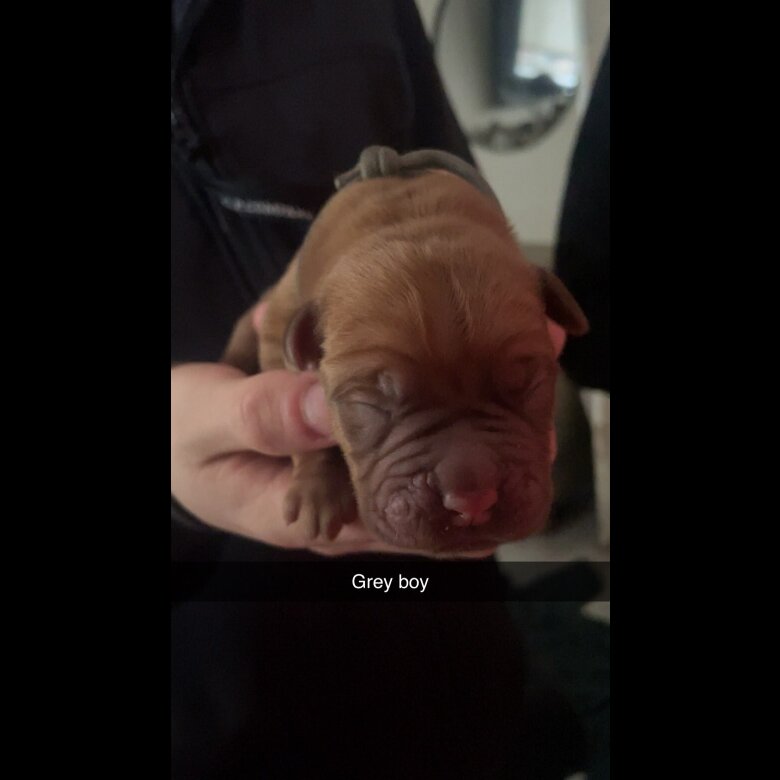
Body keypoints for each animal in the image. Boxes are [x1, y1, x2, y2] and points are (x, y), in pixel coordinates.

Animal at [223, 147, 588, 554]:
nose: (473, 500)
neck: (406, 219)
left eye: (530, 384)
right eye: (366, 404)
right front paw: (317, 493)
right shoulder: (277, 324)